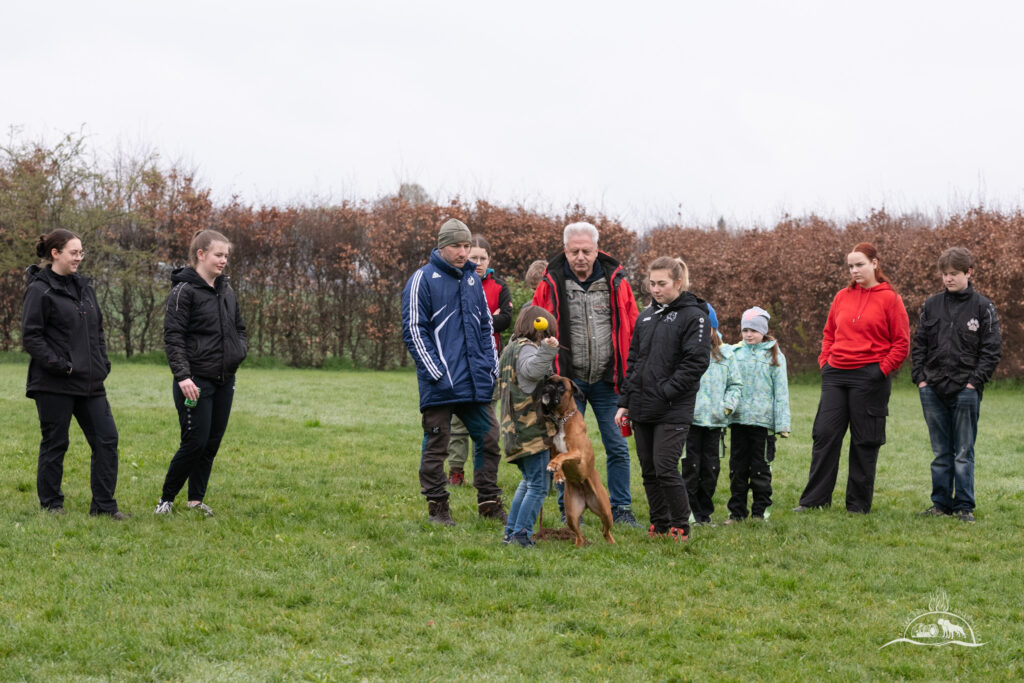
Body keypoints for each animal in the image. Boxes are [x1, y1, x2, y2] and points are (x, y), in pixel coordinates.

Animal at [544, 376, 614, 548]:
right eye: (547, 381)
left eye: (561, 386)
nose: (548, 387)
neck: (562, 418)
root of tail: (586, 500)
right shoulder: (553, 452)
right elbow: (558, 458)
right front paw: (557, 474)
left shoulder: (577, 453)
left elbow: (563, 455)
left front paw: (556, 468)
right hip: (571, 515)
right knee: (579, 535)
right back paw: (579, 546)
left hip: (606, 510)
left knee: (605, 530)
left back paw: (612, 543)